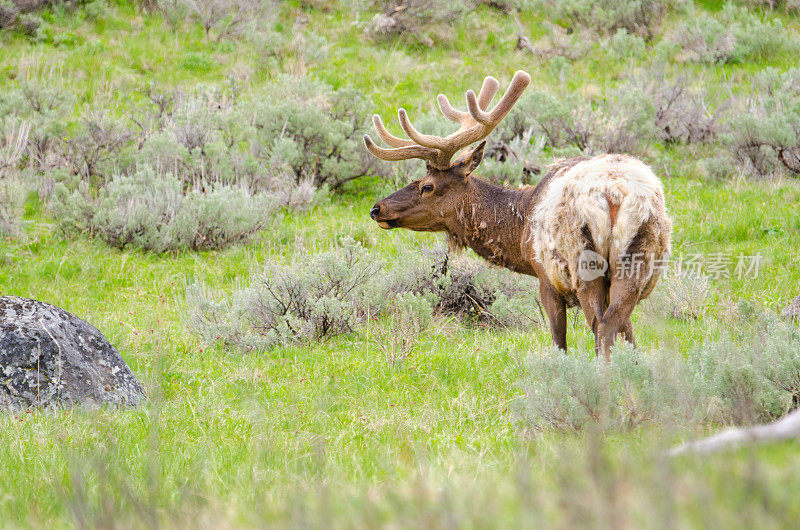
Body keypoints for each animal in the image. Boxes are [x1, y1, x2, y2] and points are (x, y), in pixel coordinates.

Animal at [366, 71, 672, 358]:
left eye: (427, 186)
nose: (377, 208)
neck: (521, 225)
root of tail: (615, 193)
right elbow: (630, 336)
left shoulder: (546, 278)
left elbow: (559, 342)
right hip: (636, 259)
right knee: (617, 324)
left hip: (583, 262)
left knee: (601, 326)